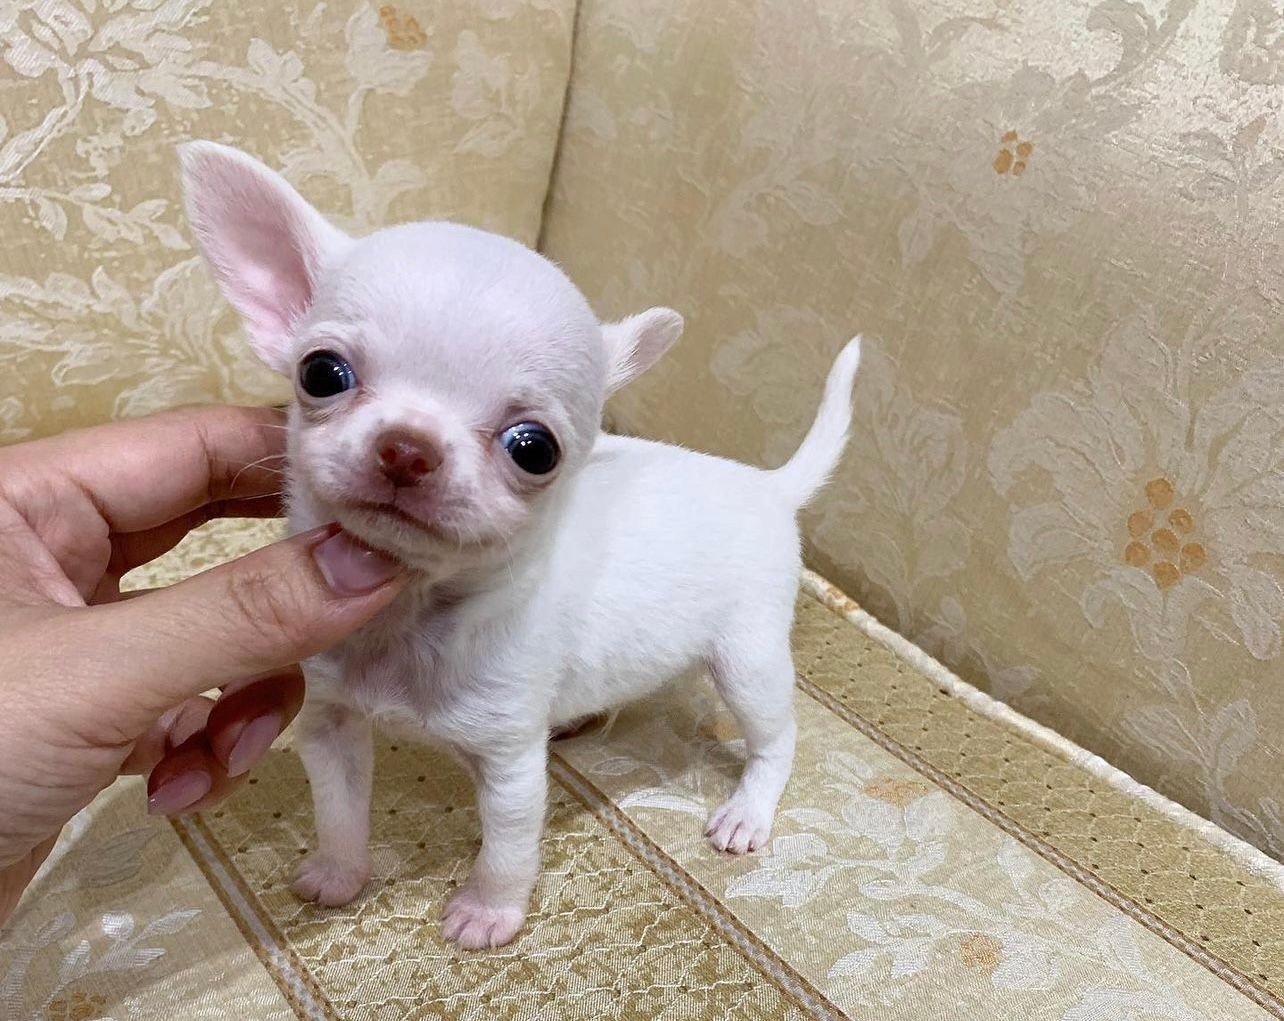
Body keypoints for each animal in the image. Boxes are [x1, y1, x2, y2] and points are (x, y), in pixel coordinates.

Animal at [181, 141, 862, 950]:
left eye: (534, 449)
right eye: (321, 373)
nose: (407, 447)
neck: (410, 614)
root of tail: (770, 486)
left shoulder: (510, 766)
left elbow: (507, 848)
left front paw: (488, 912)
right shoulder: (334, 727)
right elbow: (340, 813)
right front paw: (339, 874)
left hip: (747, 657)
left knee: (776, 738)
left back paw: (748, 812)